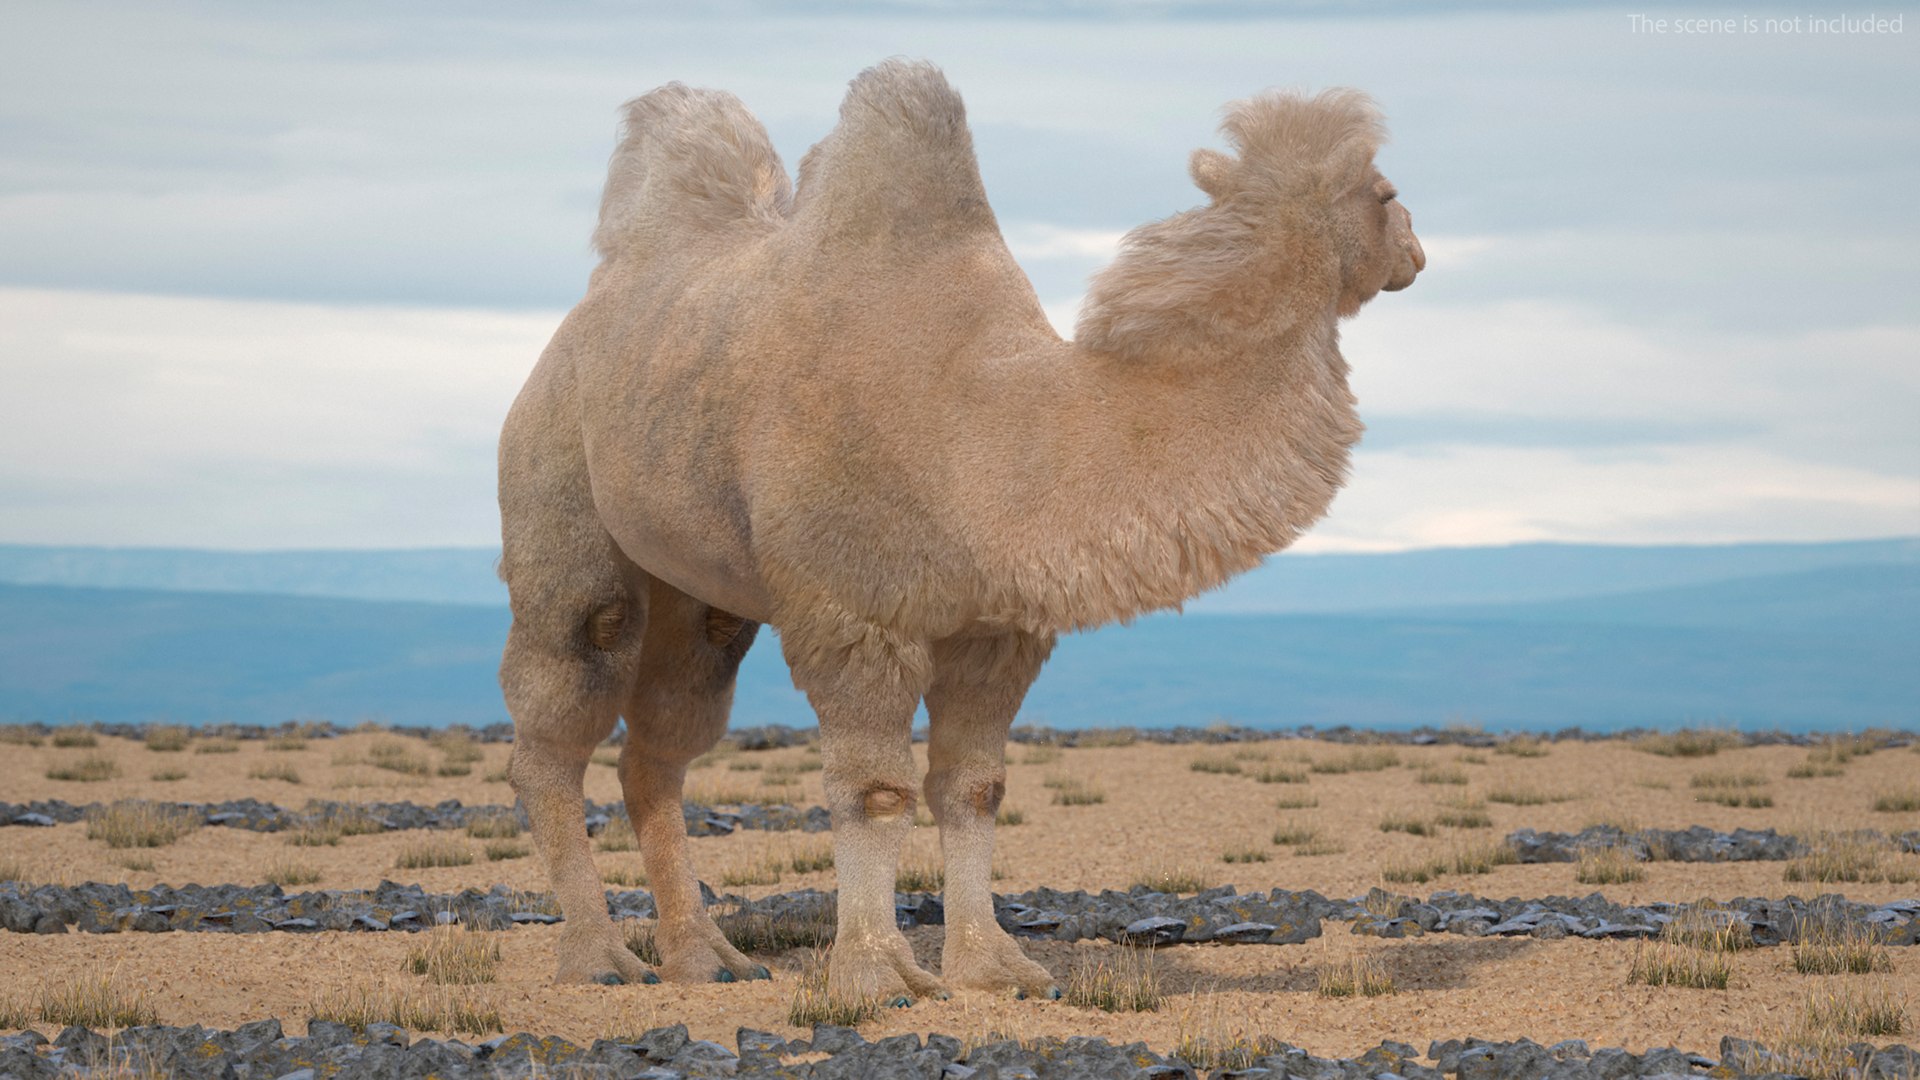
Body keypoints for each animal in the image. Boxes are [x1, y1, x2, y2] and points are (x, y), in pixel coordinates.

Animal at [497, 58, 1423, 1003]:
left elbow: (974, 788)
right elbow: (874, 792)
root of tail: (592, 308)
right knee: (561, 705)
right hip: (557, 489)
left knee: (661, 746)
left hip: (698, 586)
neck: (986, 434)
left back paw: (705, 958)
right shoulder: (857, 614)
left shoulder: (996, 628)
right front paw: (878, 974)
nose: (1419, 252)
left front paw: (995, 967)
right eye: (1385, 193)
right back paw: (598, 957)